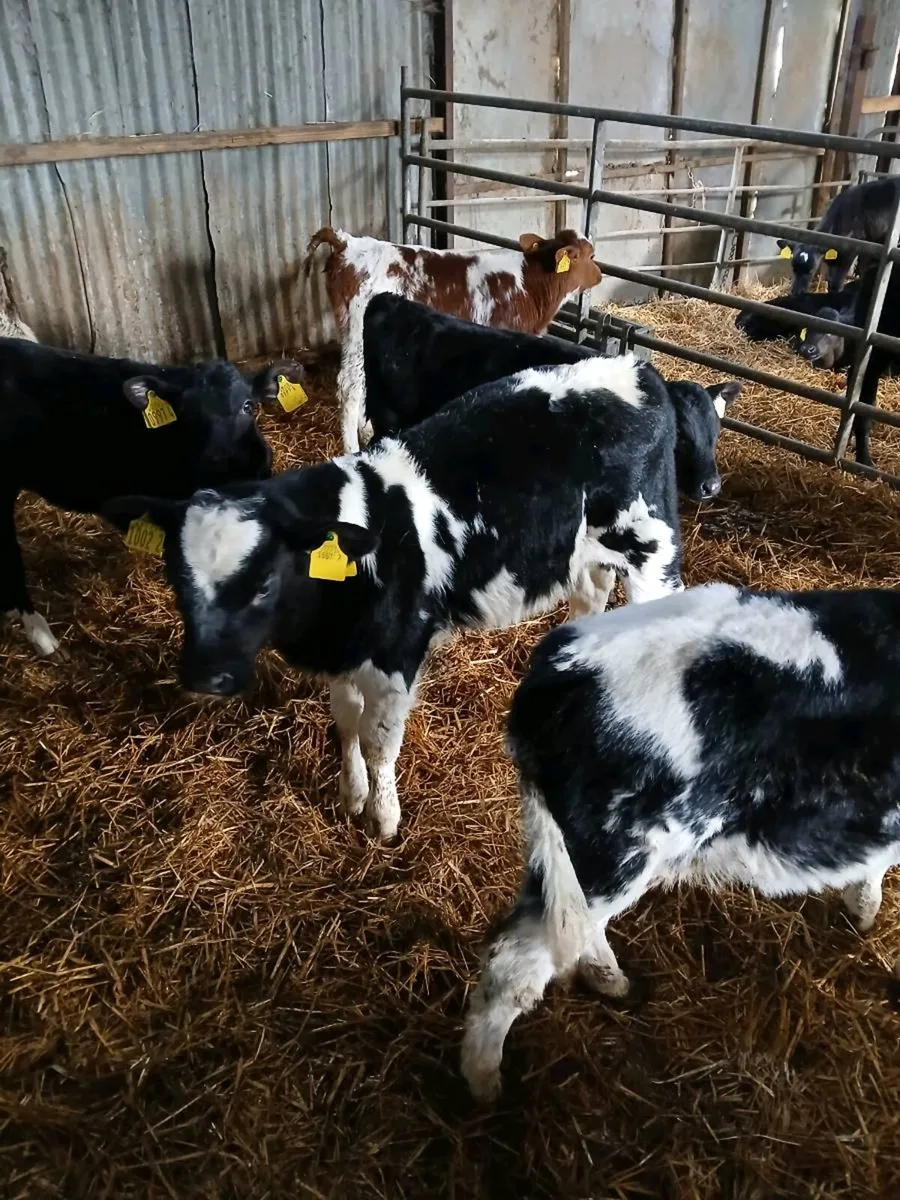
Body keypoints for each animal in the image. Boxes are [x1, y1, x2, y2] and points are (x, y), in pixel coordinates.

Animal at [103, 354, 740, 842]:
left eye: (262, 582)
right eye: (176, 580)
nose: (205, 678)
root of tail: (636, 366)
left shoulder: (397, 654)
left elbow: (379, 740)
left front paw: (383, 818)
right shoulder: (346, 650)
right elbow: (346, 723)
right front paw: (350, 794)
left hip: (653, 547)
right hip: (585, 548)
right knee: (592, 595)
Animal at [303, 226, 603, 452]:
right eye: (591, 255)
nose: (600, 275)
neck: (528, 284)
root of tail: (347, 242)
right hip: (356, 332)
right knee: (350, 386)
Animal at [461, 582, 900, 1102]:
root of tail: (557, 667)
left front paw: (862, 908)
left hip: (575, 859)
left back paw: (614, 984)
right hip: (613, 851)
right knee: (513, 964)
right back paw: (484, 1085)